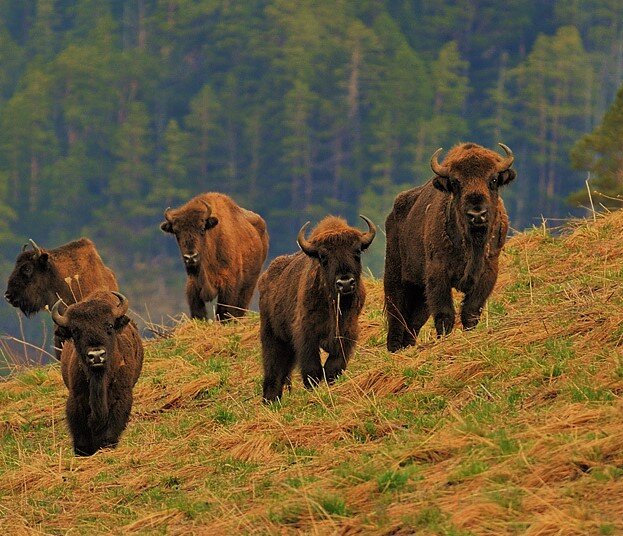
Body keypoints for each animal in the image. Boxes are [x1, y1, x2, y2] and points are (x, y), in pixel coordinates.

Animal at [51, 292, 144, 454]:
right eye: (75, 331)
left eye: (109, 325)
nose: (96, 355)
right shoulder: (76, 400)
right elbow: (81, 437)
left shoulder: (120, 399)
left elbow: (109, 433)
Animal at [258, 214, 376, 402]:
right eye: (323, 256)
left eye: (357, 251)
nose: (345, 283)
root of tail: (265, 277)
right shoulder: (307, 335)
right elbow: (312, 369)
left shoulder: (346, 334)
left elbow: (333, 368)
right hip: (272, 336)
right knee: (273, 372)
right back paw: (270, 401)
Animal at [386, 142, 516, 352]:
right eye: (455, 183)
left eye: (493, 179)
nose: (477, 214)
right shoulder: (438, 274)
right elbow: (444, 314)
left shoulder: (488, 273)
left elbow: (470, 311)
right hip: (396, 277)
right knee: (396, 315)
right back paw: (395, 349)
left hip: (420, 292)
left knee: (413, 322)